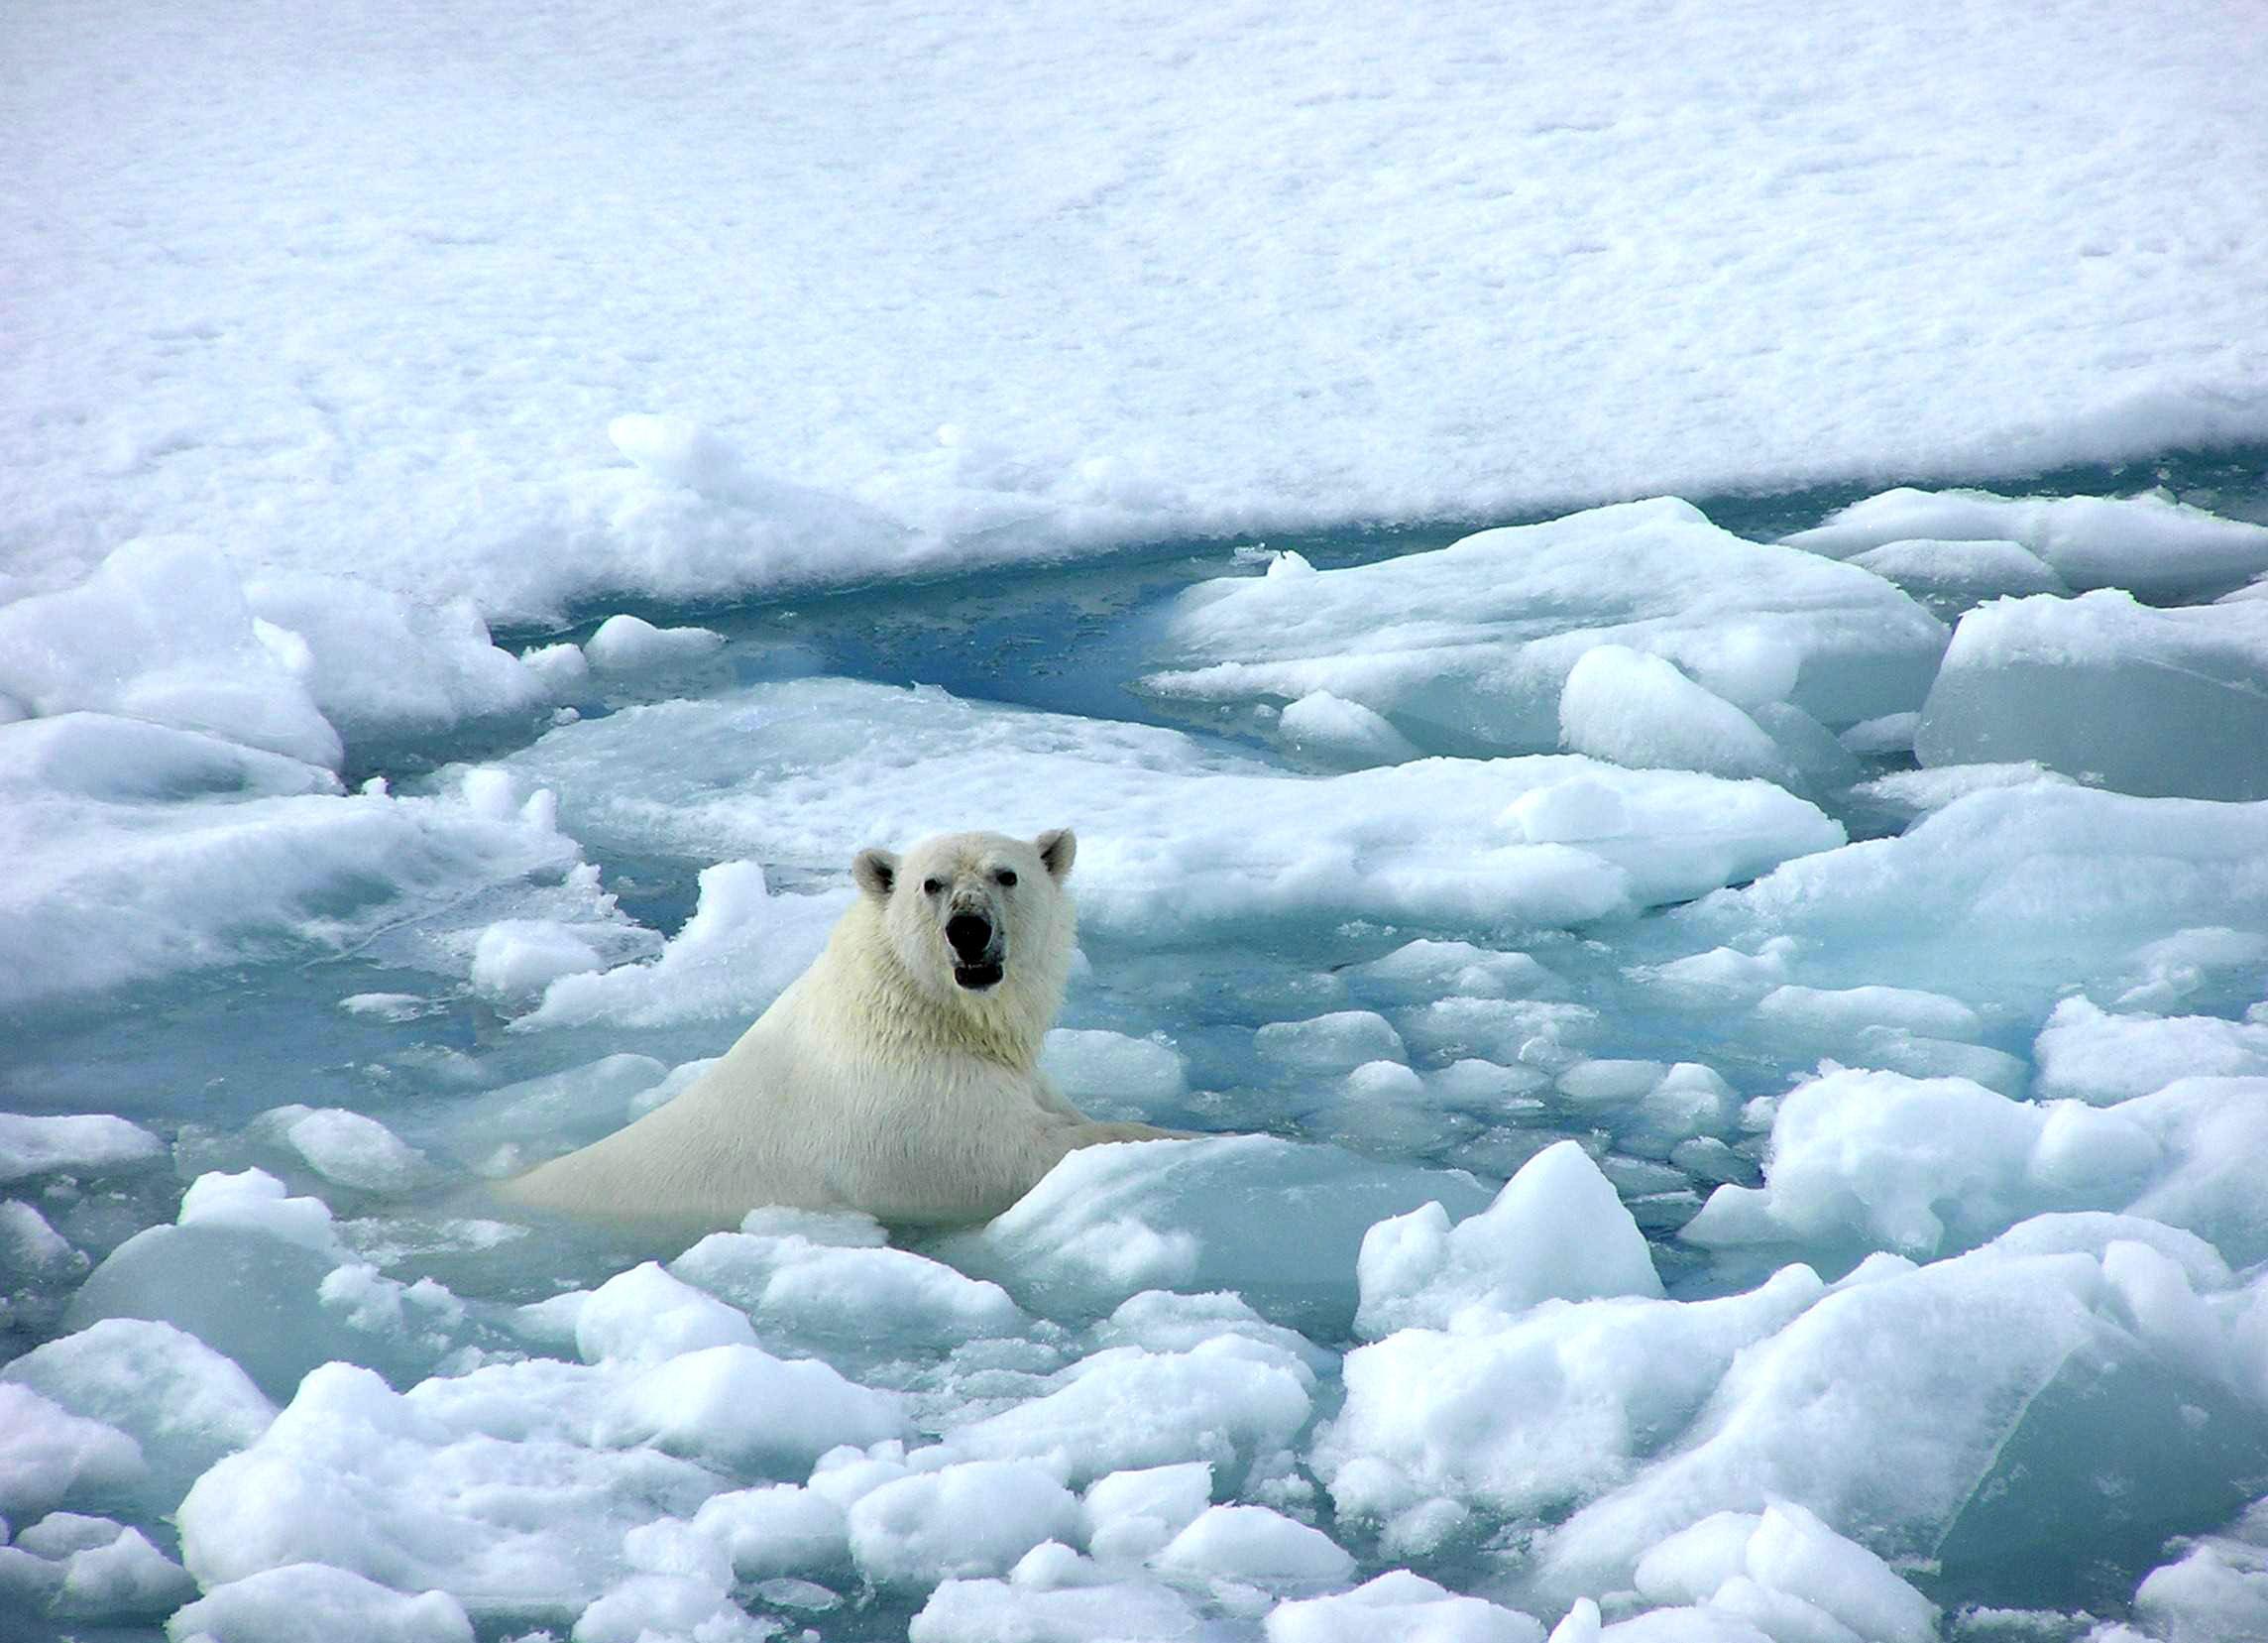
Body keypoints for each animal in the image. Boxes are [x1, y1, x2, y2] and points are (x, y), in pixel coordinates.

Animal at [503, 826, 1179, 1225]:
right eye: (930, 884)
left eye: (1006, 875)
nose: (968, 929)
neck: (922, 1010)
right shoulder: (905, 1112)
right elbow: (1012, 1156)